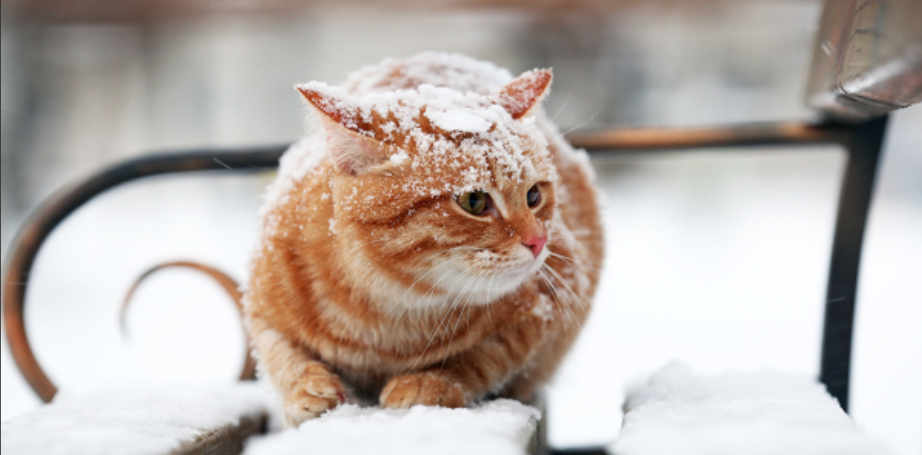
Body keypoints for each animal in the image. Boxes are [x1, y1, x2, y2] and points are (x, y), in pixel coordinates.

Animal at [244, 53, 604, 428]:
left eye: (533, 195)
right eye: (474, 201)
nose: (539, 241)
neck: (388, 320)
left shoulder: (546, 310)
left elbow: (481, 358)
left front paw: (430, 381)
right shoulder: (261, 312)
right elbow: (284, 356)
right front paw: (308, 388)